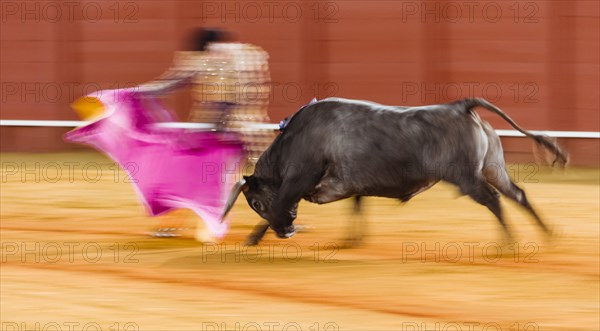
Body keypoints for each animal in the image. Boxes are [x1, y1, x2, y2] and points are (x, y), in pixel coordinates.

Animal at [221, 97, 568, 245]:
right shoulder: (349, 186)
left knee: (495, 200)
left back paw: (508, 243)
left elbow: (282, 204)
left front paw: (255, 237)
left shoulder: (301, 180)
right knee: (517, 195)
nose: (288, 231)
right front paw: (351, 241)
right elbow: (357, 207)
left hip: (467, 178)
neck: (294, 140)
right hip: (494, 168)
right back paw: (548, 235)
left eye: (255, 202)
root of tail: (459, 105)